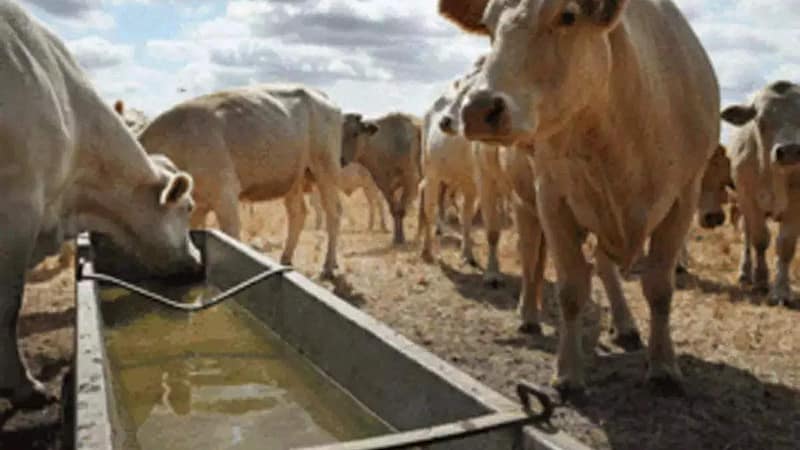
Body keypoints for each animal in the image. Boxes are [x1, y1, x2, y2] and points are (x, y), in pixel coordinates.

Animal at [138, 84, 344, 277]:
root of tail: (319, 94)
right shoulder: (198, 207)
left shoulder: (225, 195)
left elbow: (232, 239)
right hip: (293, 178)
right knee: (298, 213)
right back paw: (286, 259)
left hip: (325, 168)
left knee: (333, 213)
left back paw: (328, 266)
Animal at [341, 113, 422, 245]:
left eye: (355, 133)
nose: (341, 159)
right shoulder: (384, 185)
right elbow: (394, 209)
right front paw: (396, 238)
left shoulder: (410, 180)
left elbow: (401, 210)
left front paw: (401, 238)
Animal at [440, 0, 720, 394]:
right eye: (488, 24)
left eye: (568, 16)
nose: (478, 109)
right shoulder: (553, 198)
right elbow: (571, 288)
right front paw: (569, 372)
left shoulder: (684, 197)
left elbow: (659, 287)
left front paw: (663, 365)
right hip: (524, 201)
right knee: (531, 257)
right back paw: (529, 313)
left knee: (600, 264)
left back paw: (625, 323)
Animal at [721, 81, 800, 307]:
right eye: (761, 121)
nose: (790, 151)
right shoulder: (749, 200)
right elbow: (760, 240)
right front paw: (761, 280)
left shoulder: (796, 204)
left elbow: (785, 244)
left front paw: (781, 290)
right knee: (747, 236)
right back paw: (746, 273)